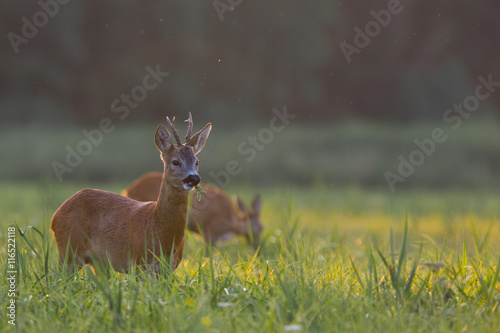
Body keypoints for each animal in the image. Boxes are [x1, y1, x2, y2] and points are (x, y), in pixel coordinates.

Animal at [51, 113, 212, 272]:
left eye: (196, 162)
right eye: (176, 162)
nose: (194, 178)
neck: (157, 224)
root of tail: (55, 215)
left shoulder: (169, 268)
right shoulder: (140, 262)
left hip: (98, 262)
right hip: (69, 252)